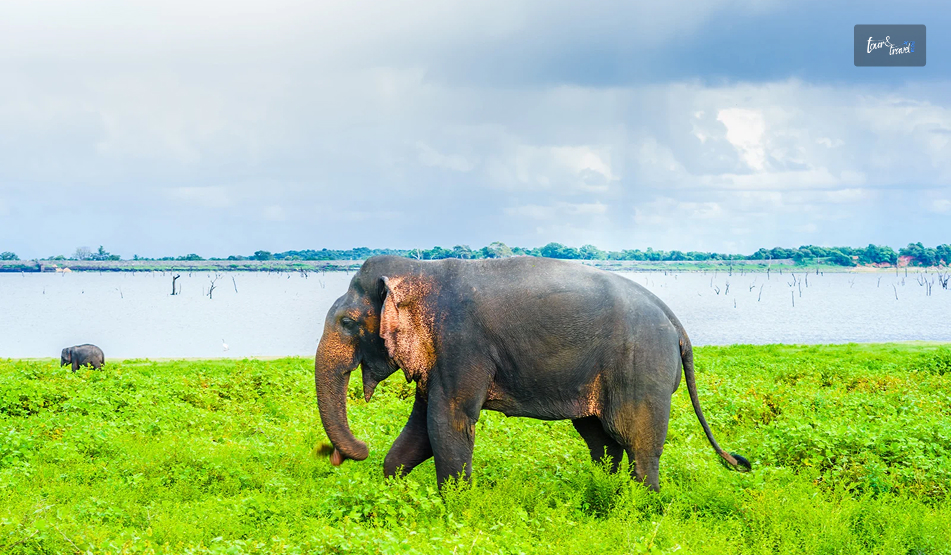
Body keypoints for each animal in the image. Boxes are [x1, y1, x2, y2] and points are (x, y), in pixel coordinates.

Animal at [314, 255, 750, 492]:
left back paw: (643, 504)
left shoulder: (462, 345)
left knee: (635, 439)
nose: (335, 455)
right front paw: (395, 485)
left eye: (348, 323)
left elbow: (447, 421)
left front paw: (454, 505)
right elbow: (421, 427)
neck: (422, 270)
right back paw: (606, 491)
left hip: (642, 367)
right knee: (601, 439)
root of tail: (676, 324)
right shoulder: (438, 356)